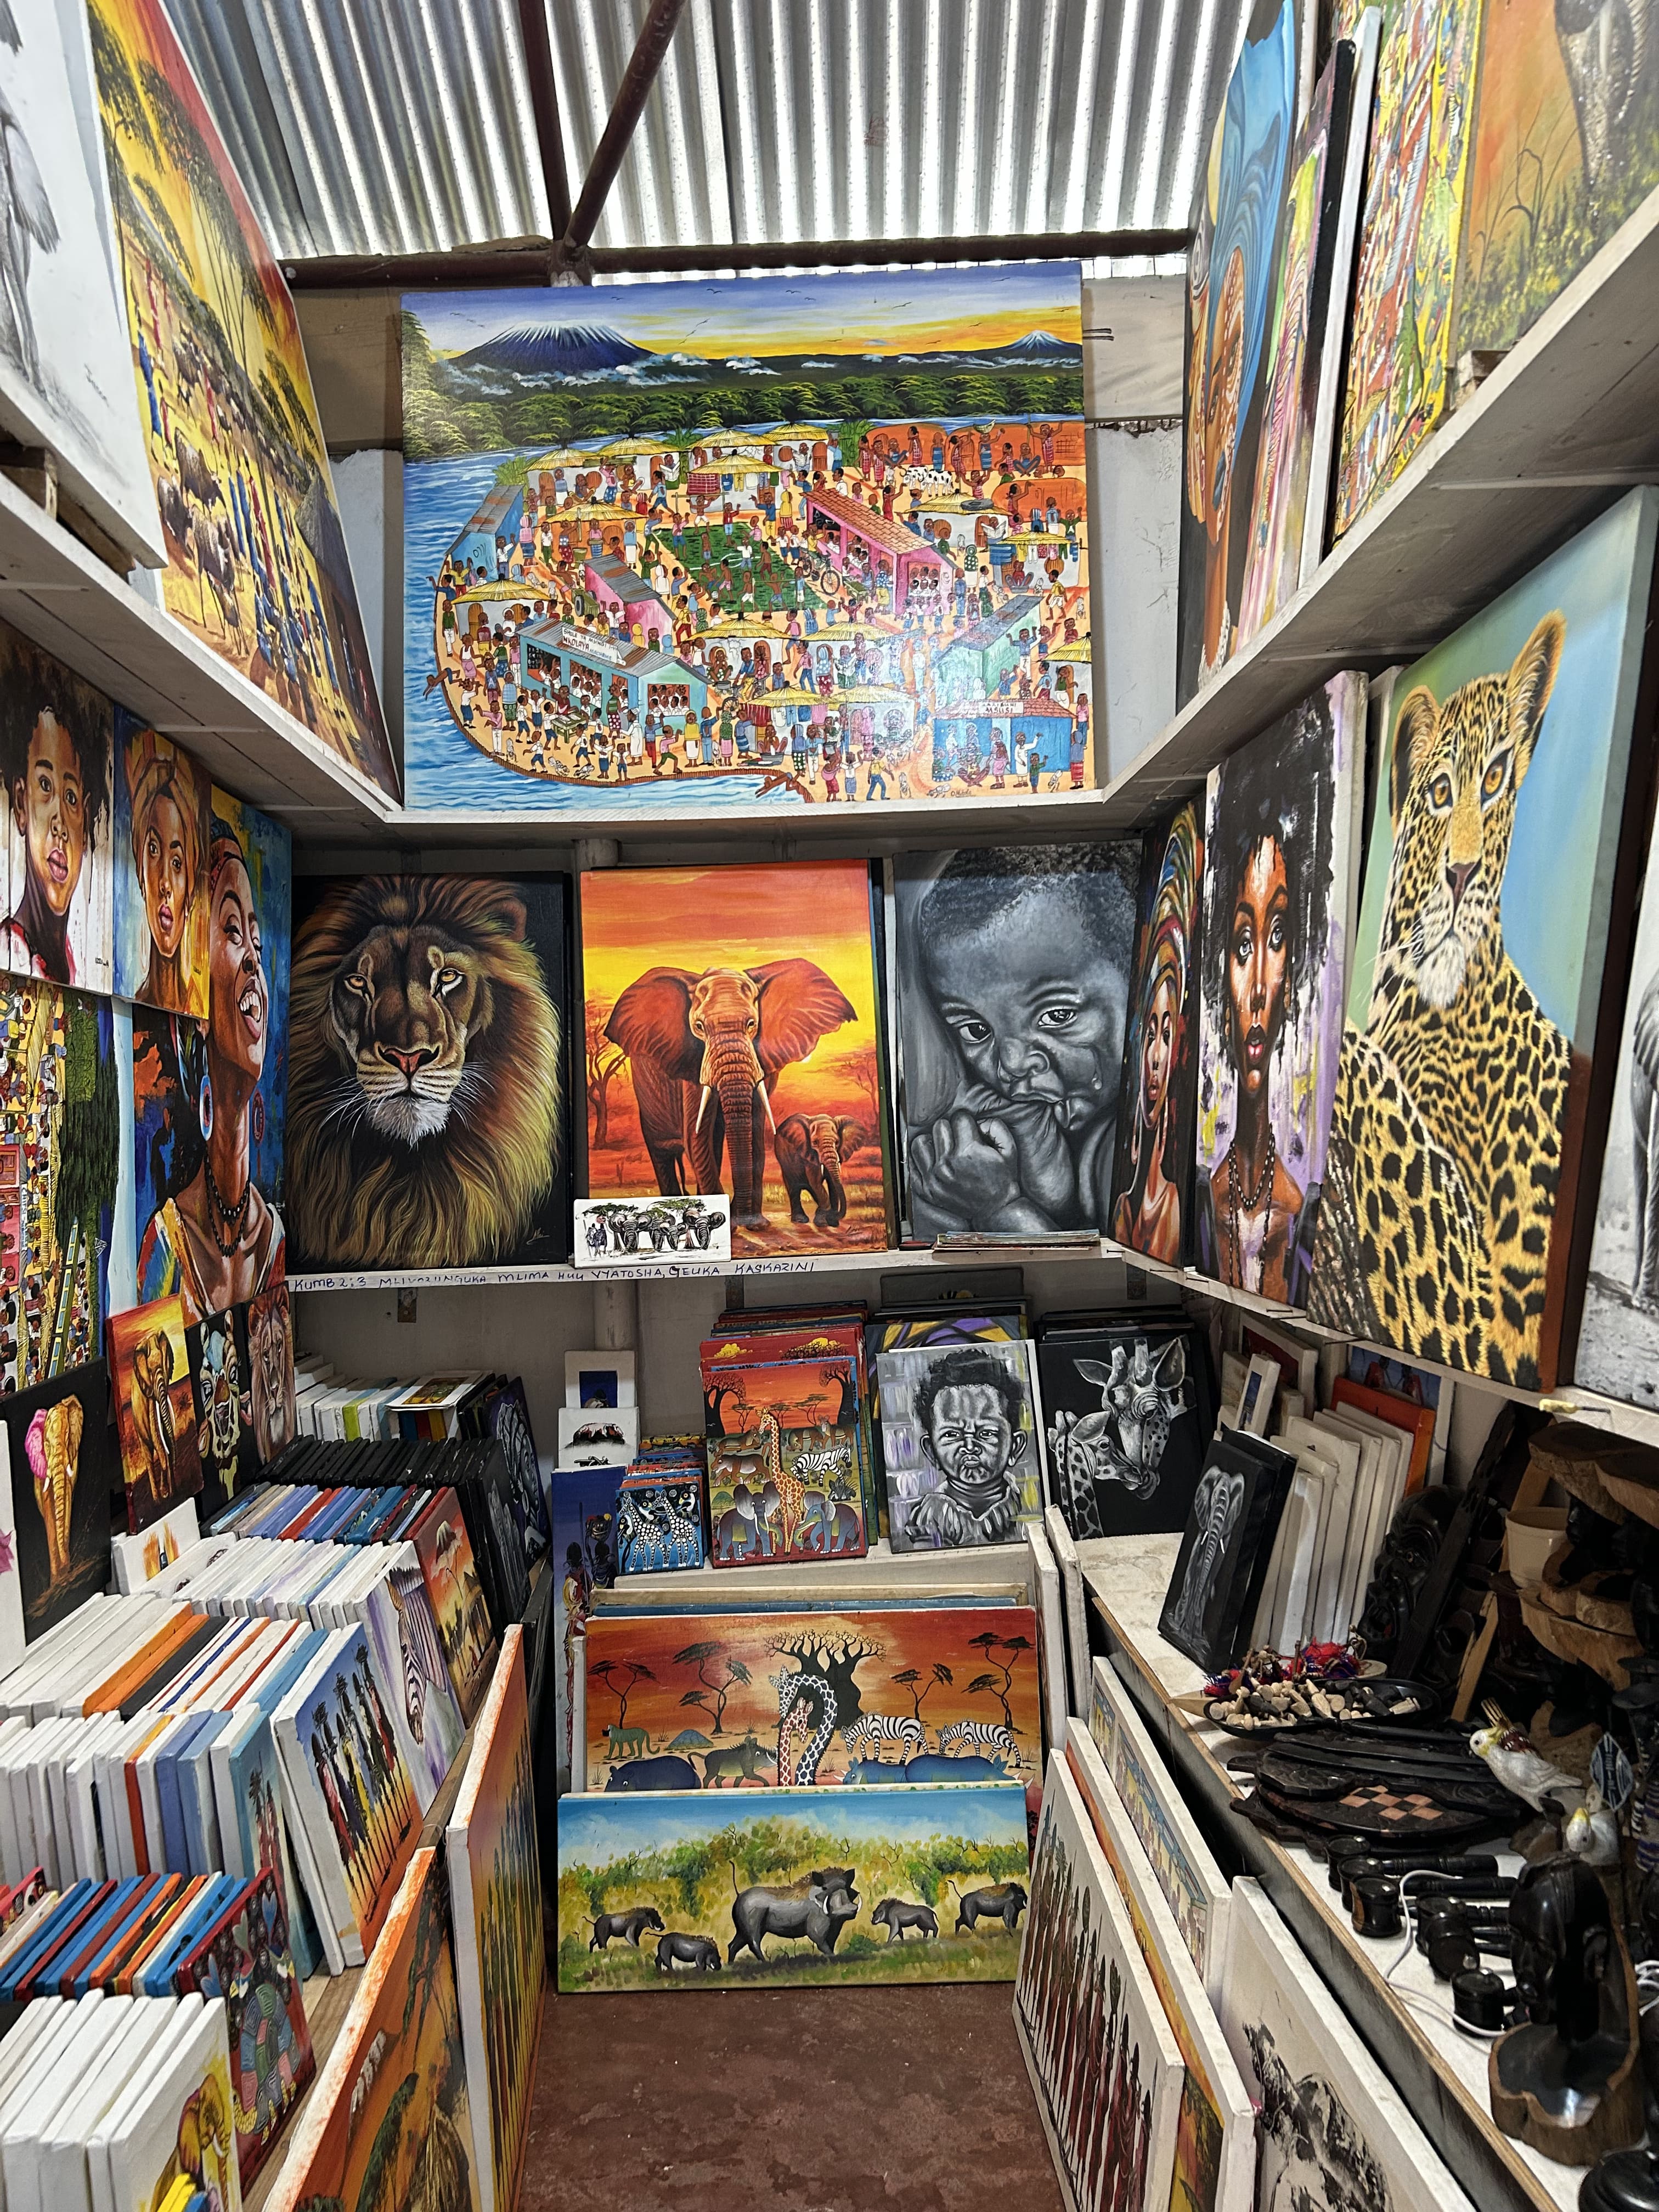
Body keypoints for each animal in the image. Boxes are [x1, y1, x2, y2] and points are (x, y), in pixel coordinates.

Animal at [588, 1905, 664, 1951]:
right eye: (654, 1918)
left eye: (660, 1918)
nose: (663, 1927)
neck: (640, 1920)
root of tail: (596, 1923)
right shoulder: (629, 1934)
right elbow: (634, 1944)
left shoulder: (636, 1935)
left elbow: (637, 1944)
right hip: (603, 1936)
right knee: (603, 1945)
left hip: (597, 1936)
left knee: (592, 1943)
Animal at [774, 1113, 865, 1228]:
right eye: (815, 1142)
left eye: (837, 1142)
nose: (833, 1217)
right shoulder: (808, 1154)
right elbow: (816, 1182)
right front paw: (823, 1222)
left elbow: (831, 1183)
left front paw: (833, 1222)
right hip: (785, 1162)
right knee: (794, 1186)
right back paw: (800, 1220)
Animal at [953, 1882, 1028, 1934]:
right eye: (1020, 1894)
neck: (1013, 1896)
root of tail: (962, 1898)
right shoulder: (1009, 1908)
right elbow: (1008, 1921)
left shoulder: (1016, 1913)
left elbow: (1014, 1923)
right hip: (970, 1915)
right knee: (970, 1924)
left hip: (964, 1915)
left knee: (958, 1921)